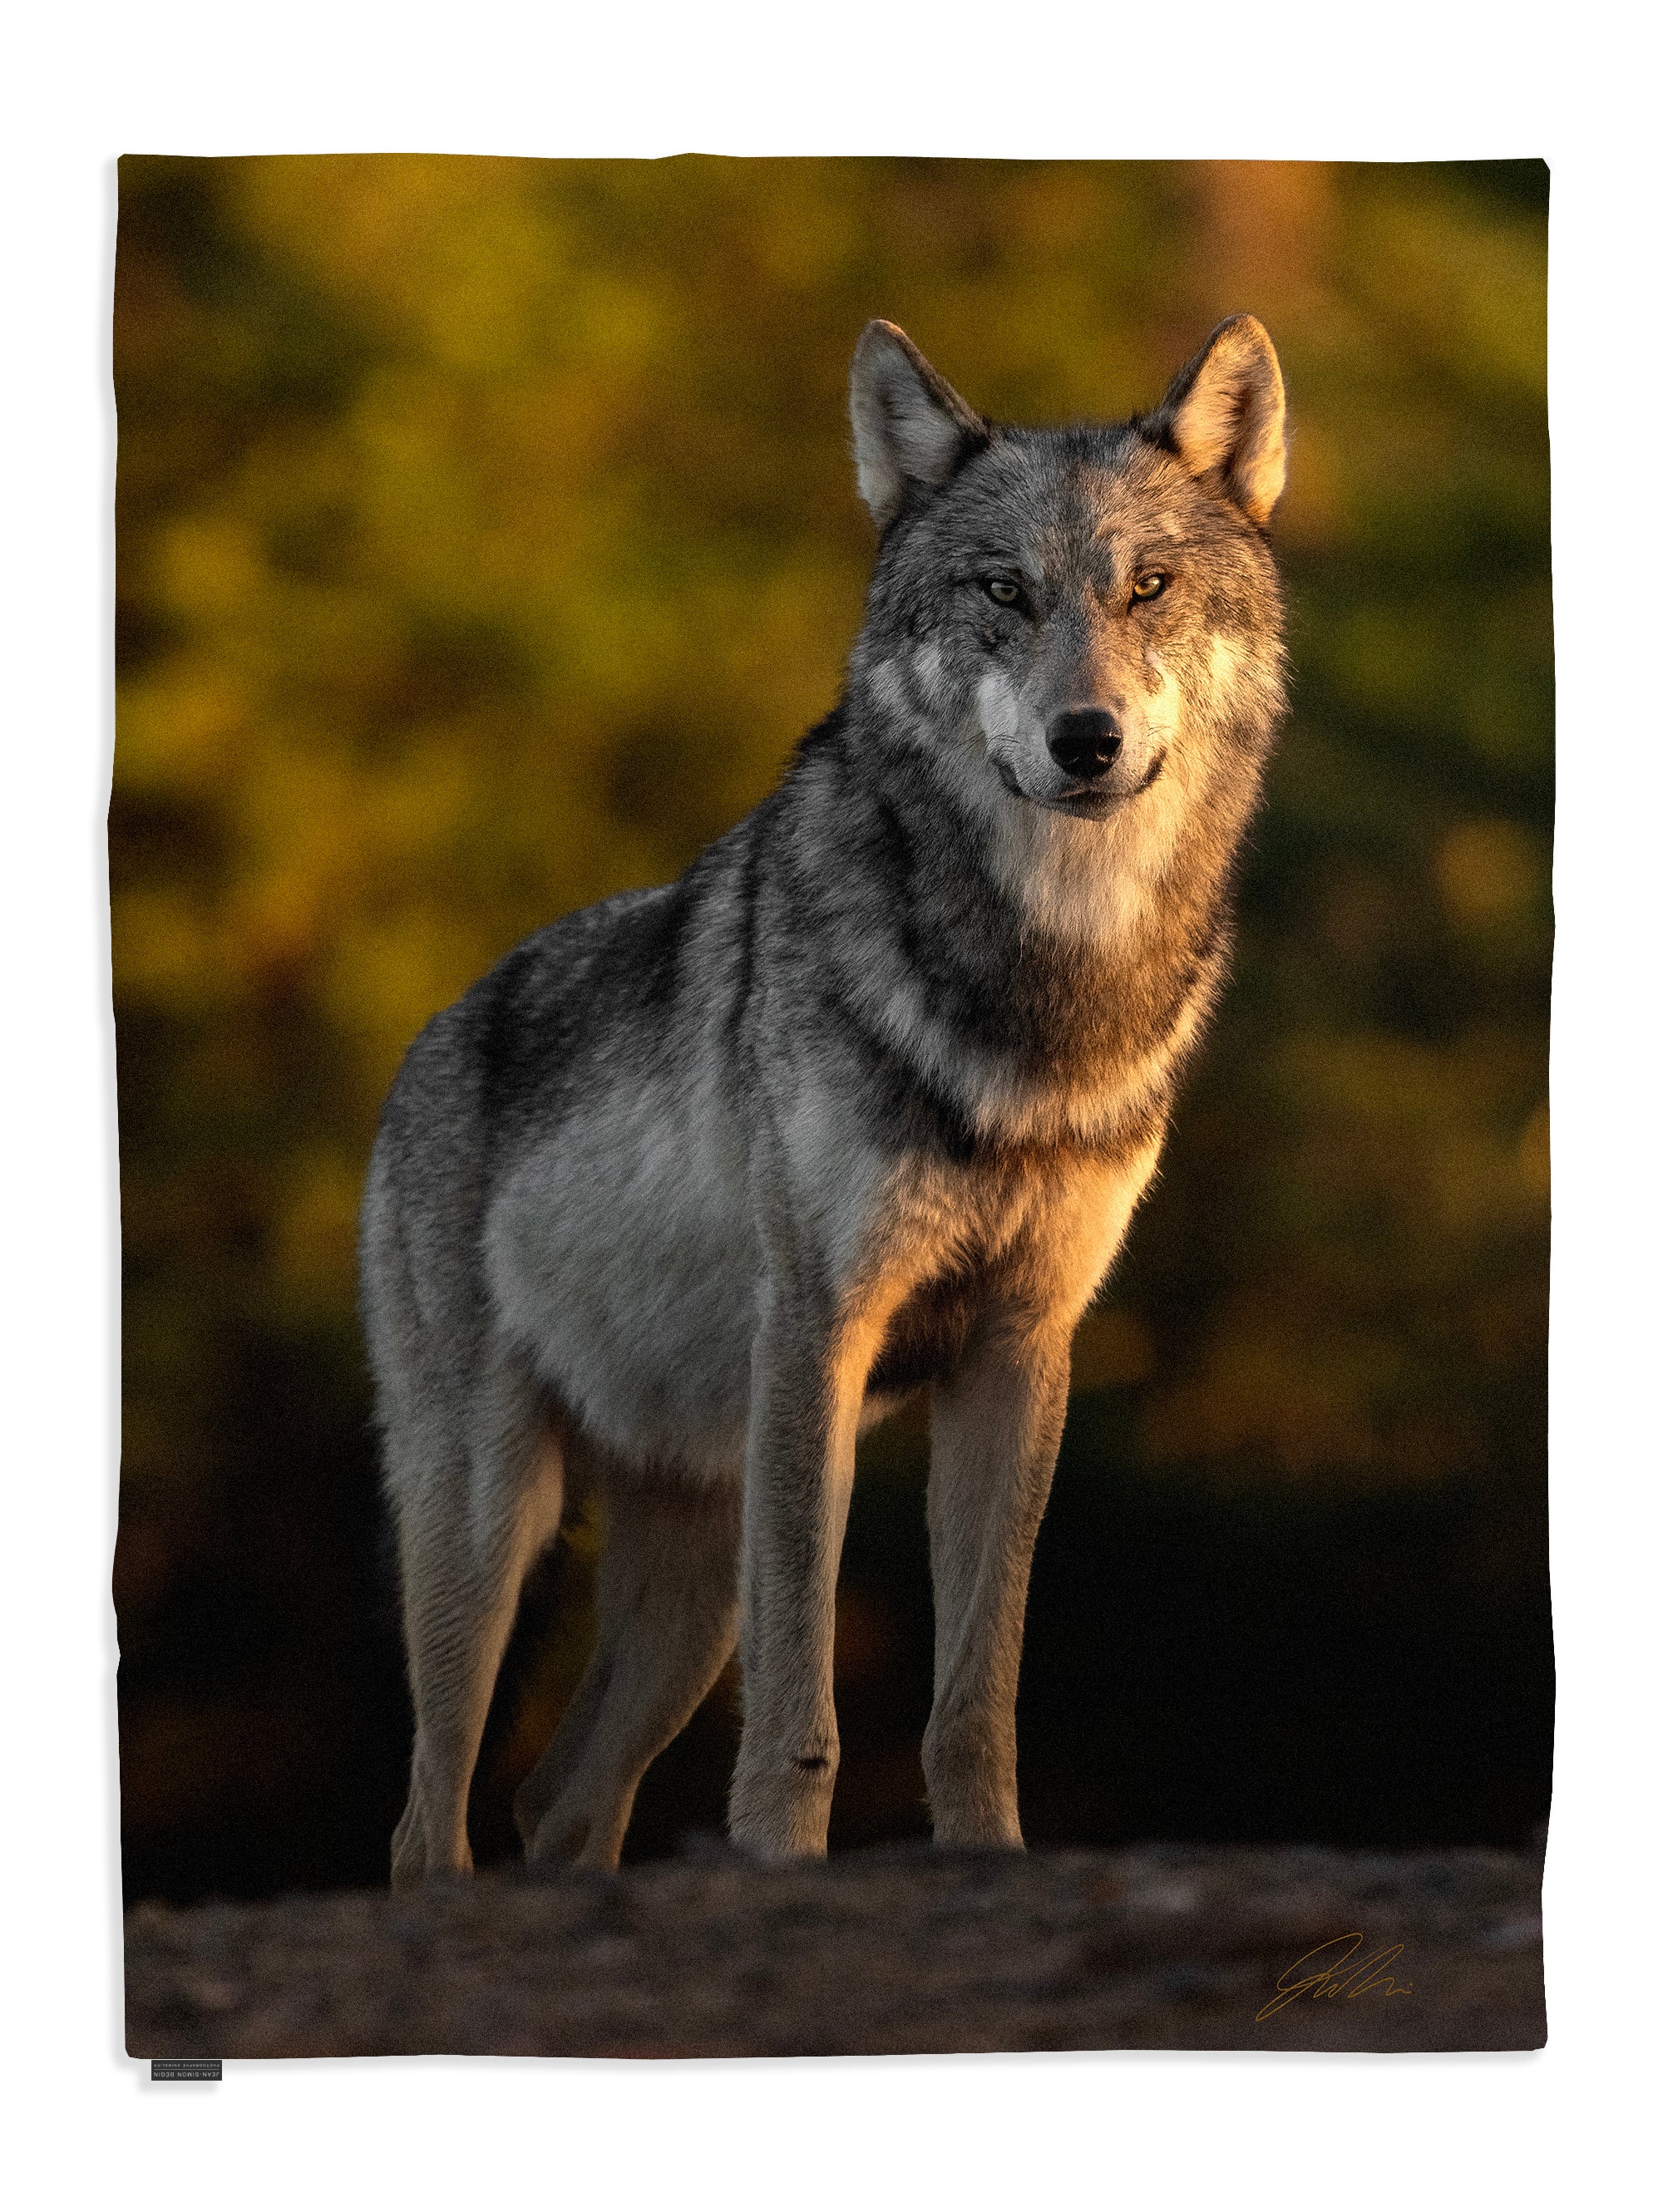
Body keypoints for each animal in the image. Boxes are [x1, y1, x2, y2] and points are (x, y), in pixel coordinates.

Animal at [362, 313, 1289, 1880]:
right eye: (1003, 591)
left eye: (1149, 588)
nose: (1085, 738)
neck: (1040, 990)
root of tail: (429, 1040)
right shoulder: (821, 1333)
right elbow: (803, 1688)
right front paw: (781, 1862)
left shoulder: (1021, 1354)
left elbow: (979, 1688)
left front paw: (986, 1860)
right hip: (493, 1525)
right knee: (430, 1819)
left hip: (686, 1581)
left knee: (554, 1796)